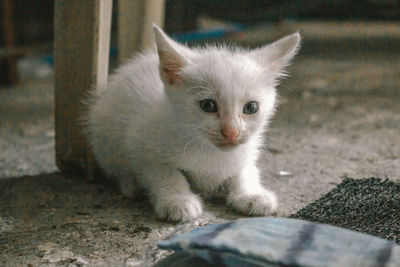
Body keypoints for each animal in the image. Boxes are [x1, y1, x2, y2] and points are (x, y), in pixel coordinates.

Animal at [85, 25, 300, 222]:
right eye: (208, 105)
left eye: (251, 107)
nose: (231, 132)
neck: (209, 152)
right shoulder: (141, 144)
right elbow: (166, 172)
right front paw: (178, 201)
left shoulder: (245, 152)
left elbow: (245, 171)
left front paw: (252, 194)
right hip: (102, 132)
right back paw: (131, 185)